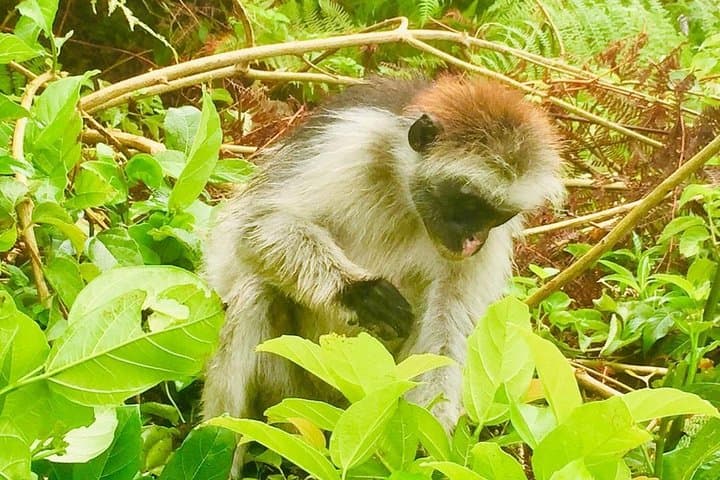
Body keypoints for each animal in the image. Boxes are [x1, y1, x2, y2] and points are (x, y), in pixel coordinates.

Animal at [201, 75, 564, 433]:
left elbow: (447, 329)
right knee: (257, 288)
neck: (406, 199)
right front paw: (359, 293)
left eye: (496, 216)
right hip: (294, 390)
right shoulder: (349, 143)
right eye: (468, 204)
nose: (474, 242)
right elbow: (252, 229)